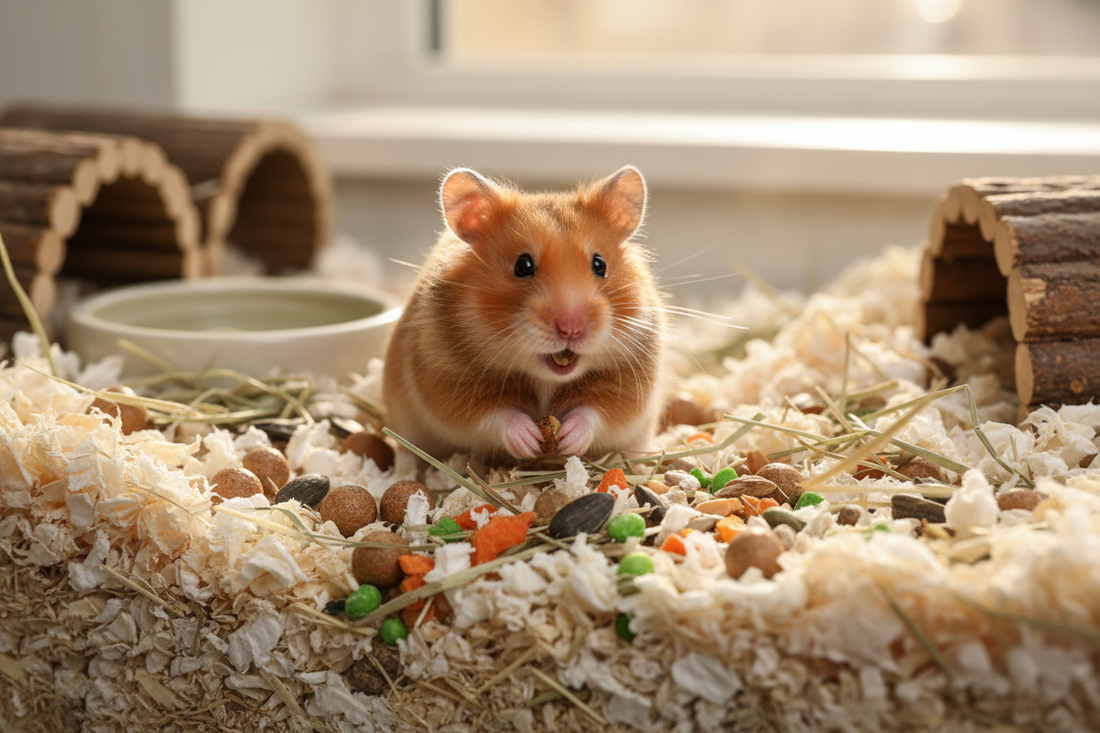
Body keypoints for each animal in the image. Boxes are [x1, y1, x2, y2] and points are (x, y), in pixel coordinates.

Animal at [382, 166, 666, 463]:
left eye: (600, 264)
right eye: (523, 265)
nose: (572, 329)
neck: (545, 378)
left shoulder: (629, 387)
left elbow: (595, 412)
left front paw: (568, 440)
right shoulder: (448, 383)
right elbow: (496, 416)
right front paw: (530, 440)